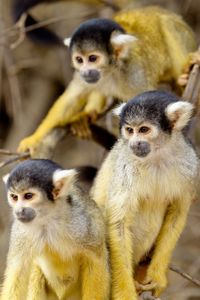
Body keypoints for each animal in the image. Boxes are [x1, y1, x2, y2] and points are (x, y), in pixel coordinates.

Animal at [0, 158, 109, 298]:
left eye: (28, 196)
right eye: (14, 197)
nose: (19, 211)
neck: (47, 219)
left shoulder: (83, 223)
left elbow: (95, 259)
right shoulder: (20, 231)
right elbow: (17, 271)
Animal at [18, 5, 197, 156]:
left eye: (92, 58)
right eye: (79, 60)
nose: (86, 71)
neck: (111, 70)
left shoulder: (134, 74)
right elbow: (71, 99)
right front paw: (34, 139)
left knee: (168, 25)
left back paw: (185, 76)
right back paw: (88, 115)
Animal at [91, 90, 199, 298]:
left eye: (143, 130)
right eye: (129, 130)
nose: (134, 143)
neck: (157, 156)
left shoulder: (191, 165)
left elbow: (177, 213)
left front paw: (157, 277)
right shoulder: (126, 165)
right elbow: (119, 223)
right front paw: (124, 292)